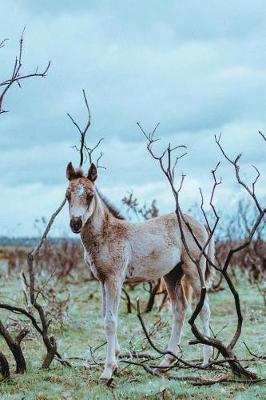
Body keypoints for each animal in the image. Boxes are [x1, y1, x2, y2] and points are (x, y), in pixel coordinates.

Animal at [65, 161, 215, 382]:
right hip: (172, 275)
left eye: (90, 195)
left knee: (203, 309)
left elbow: (110, 321)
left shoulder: (114, 279)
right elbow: (105, 314)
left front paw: (107, 370)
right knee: (179, 309)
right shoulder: (102, 280)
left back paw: (206, 361)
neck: (106, 234)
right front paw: (116, 359)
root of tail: (200, 224)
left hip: (194, 270)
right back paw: (166, 362)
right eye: (67, 195)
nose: (75, 223)